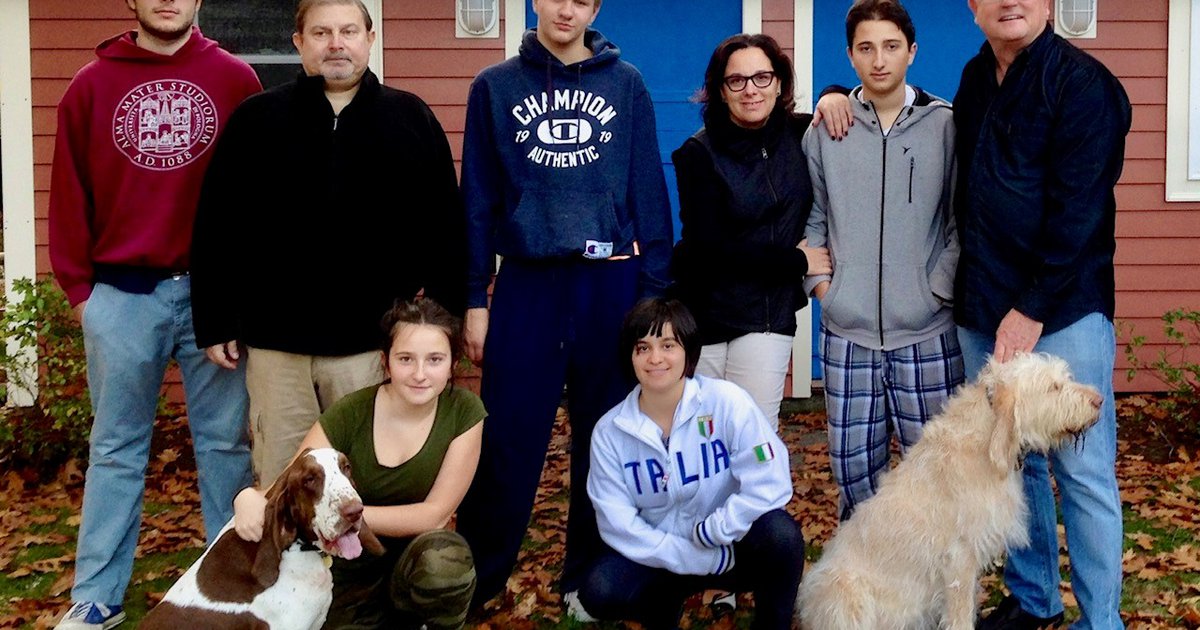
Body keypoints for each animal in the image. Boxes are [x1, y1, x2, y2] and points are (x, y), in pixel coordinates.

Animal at [796, 352, 1104, 628]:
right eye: (1053, 387)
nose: (1099, 400)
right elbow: (960, 615)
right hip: (844, 590)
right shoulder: (959, 559)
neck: (986, 439)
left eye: (1064, 379)